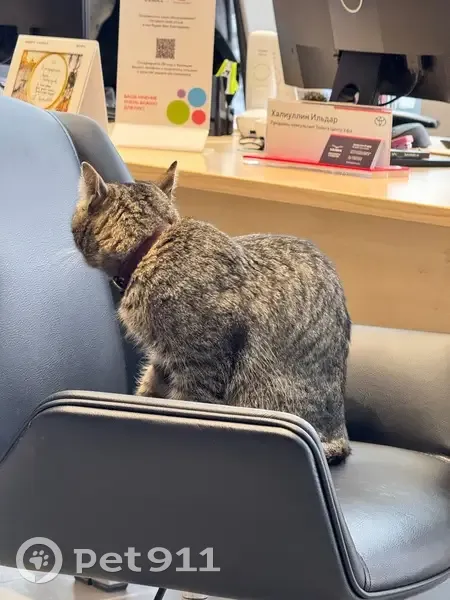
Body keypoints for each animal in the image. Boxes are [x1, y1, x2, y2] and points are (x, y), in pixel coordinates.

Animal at [71, 161, 352, 464]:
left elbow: (186, 405)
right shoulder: (162, 358)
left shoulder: (200, 369)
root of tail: (340, 434)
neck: (153, 247)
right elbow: (148, 390)